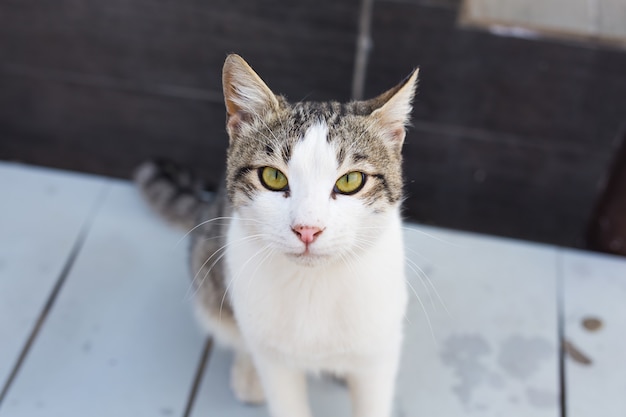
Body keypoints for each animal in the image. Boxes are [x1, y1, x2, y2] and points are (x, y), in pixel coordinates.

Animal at [137, 54, 420, 416]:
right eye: (272, 177)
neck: (314, 286)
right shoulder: (274, 358)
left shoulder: (379, 347)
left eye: (350, 181)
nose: (307, 229)